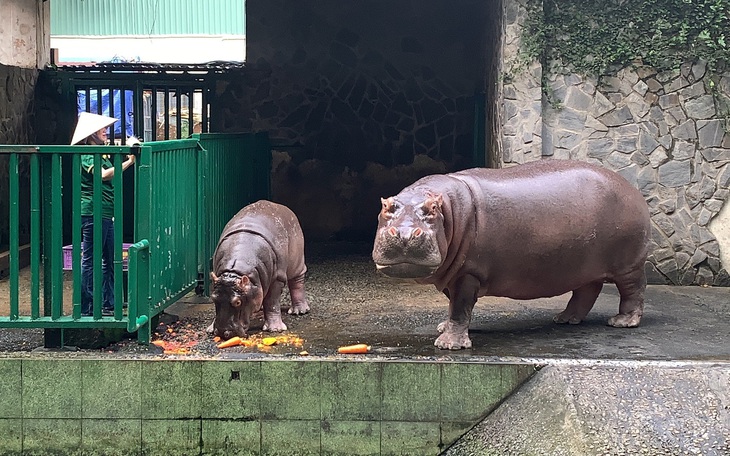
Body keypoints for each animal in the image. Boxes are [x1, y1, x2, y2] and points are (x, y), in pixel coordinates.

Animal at [210, 201, 310, 340]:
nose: (221, 332)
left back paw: (299, 311)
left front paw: (275, 329)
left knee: (297, 283)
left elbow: (272, 302)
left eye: (237, 302)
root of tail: (281, 207)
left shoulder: (277, 279)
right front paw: (210, 328)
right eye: (213, 298)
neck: (235, 272)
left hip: (297, 262)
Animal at [370, 159, 648, 350]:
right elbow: (454, 306)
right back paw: (565, 319)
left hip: (629, 265)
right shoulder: (454, 274)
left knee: (633, 290)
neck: (450, 209)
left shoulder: (468, 273)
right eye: (386, 206)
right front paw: (444, 327)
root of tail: (632, 188)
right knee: (587, 290)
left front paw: (449, 344)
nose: (405, 234)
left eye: (432, 209)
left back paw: (622, 321)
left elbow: (459, 307)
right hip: (584, 266)